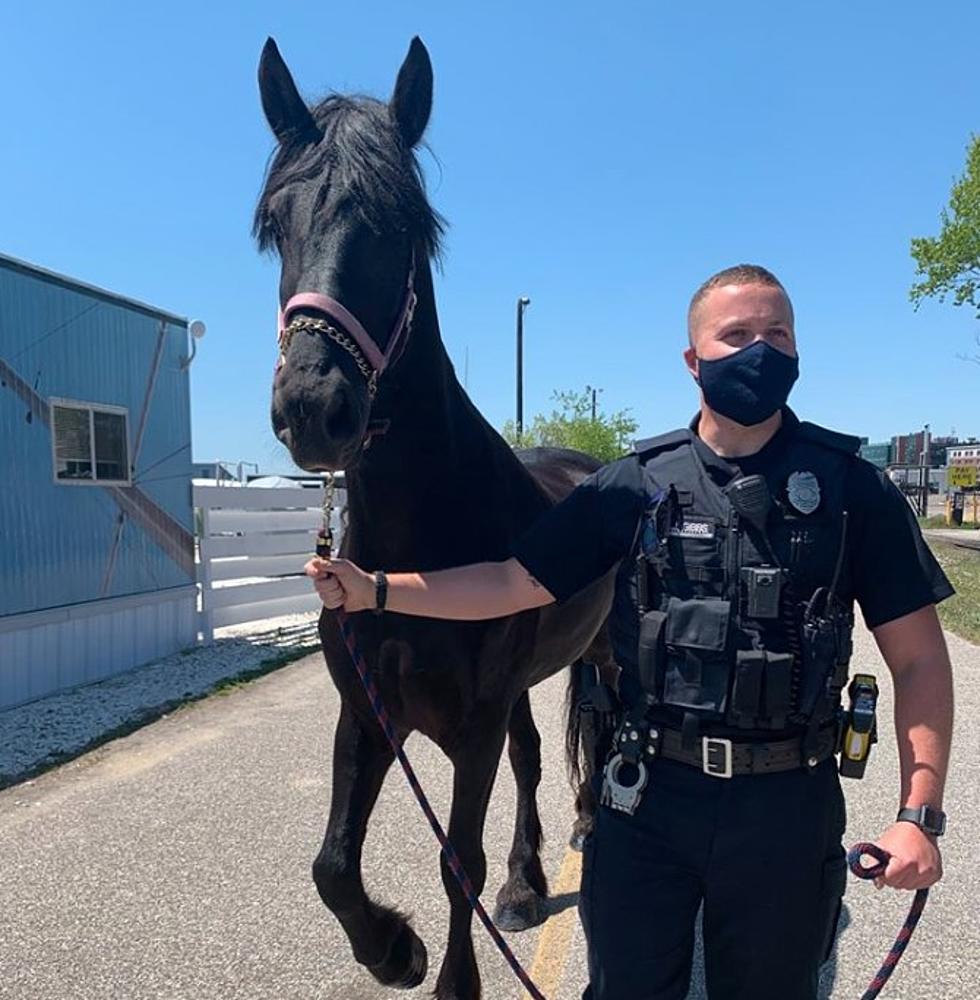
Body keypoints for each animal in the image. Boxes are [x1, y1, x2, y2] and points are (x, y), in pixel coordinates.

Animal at [256, 37, 616, 1000]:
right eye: (275, 224)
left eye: (406, 224)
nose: (314, 407)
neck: (413, 552)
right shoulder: (369, 713)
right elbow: (331, 864)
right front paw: (391, 947)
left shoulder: (474, 720)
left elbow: (459, 863)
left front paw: (452, 975)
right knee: (534, 757)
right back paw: (529, 887)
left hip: (601, 654)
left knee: (597, 737)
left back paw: (585, 831)